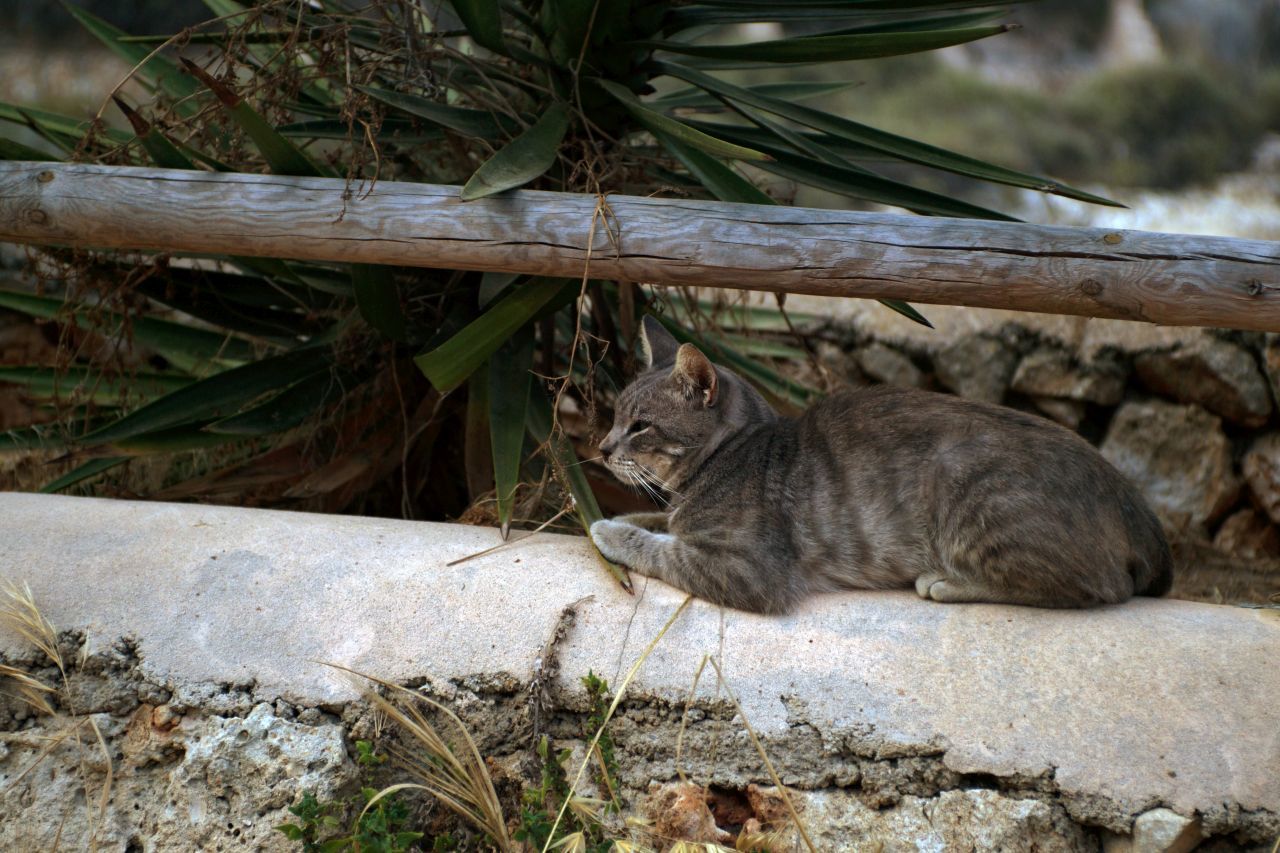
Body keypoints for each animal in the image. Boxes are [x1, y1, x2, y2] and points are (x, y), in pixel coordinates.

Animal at [588, 313, 1172, 612]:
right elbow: (658, 518)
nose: (602, 447)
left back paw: (948, 582)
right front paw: (624, 516)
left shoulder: (746, 570)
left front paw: (610, 530)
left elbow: (660, 547)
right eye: (616, 416)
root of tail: (1134, 503)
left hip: (971, 490)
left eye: (640, 426)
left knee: (1097, 587)